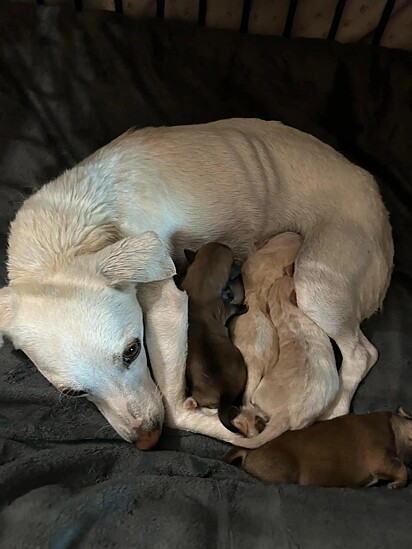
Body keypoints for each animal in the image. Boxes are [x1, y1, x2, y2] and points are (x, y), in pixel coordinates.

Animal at [181, 242, 248, 430]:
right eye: (232, 261)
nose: (240, 264)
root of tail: (225, 392)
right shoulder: (224, 309)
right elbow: (232, 307)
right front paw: (241, 306)